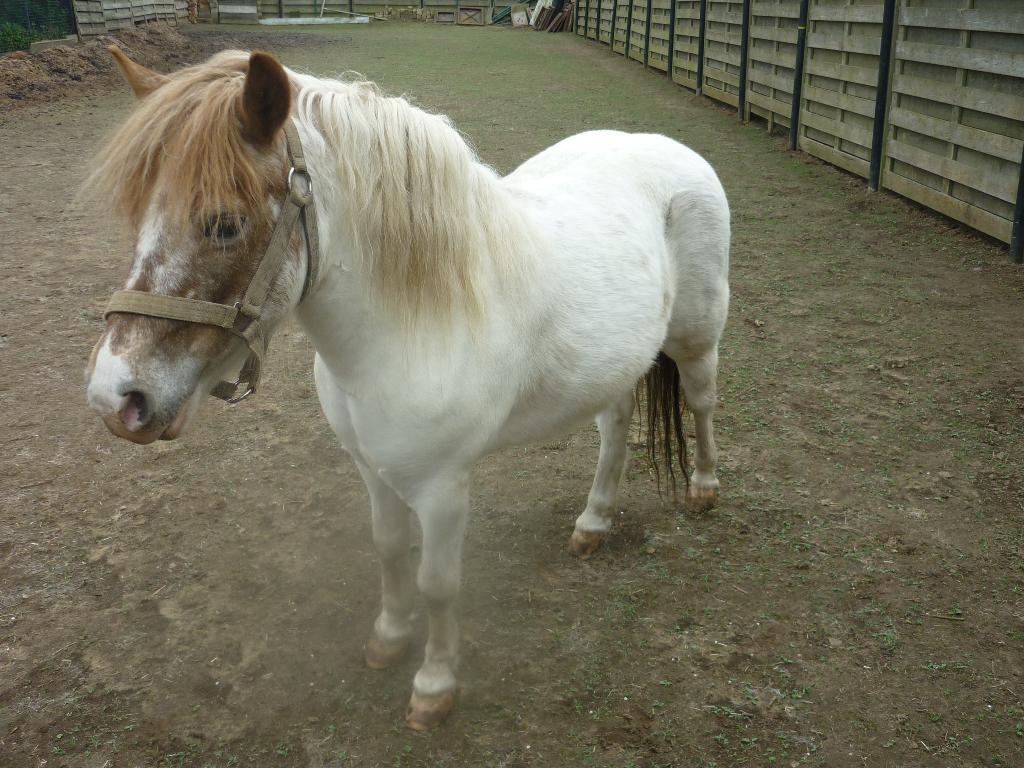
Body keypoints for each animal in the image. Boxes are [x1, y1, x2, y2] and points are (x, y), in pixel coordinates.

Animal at [84, 47, 730, 729]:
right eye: (138, 217)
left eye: (224, 224)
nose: (115, 397)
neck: (411, 326)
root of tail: (663, 147)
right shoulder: (373, 469)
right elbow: (390, 550)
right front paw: (389, 639)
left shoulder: (444, 489)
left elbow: (437, 583)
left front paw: (434, 684)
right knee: (616, 426)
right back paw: (593, 522)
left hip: (696, 341)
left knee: (702, 403)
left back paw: (703, 489)